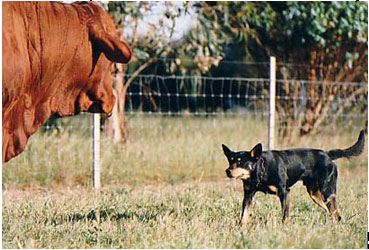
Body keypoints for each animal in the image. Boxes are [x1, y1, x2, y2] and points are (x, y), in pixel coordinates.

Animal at [221, 131, 362, 227]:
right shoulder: (248, 195)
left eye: (241, 162)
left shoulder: (284, 192)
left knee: (336, 214)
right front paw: (241, 230)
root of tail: (327, 154)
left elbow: (285, 214)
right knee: (331, 212)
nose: (227, 170)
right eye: (230, 161)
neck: (261, 171)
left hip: (327, 191)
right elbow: (243, 216)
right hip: (315, 194)